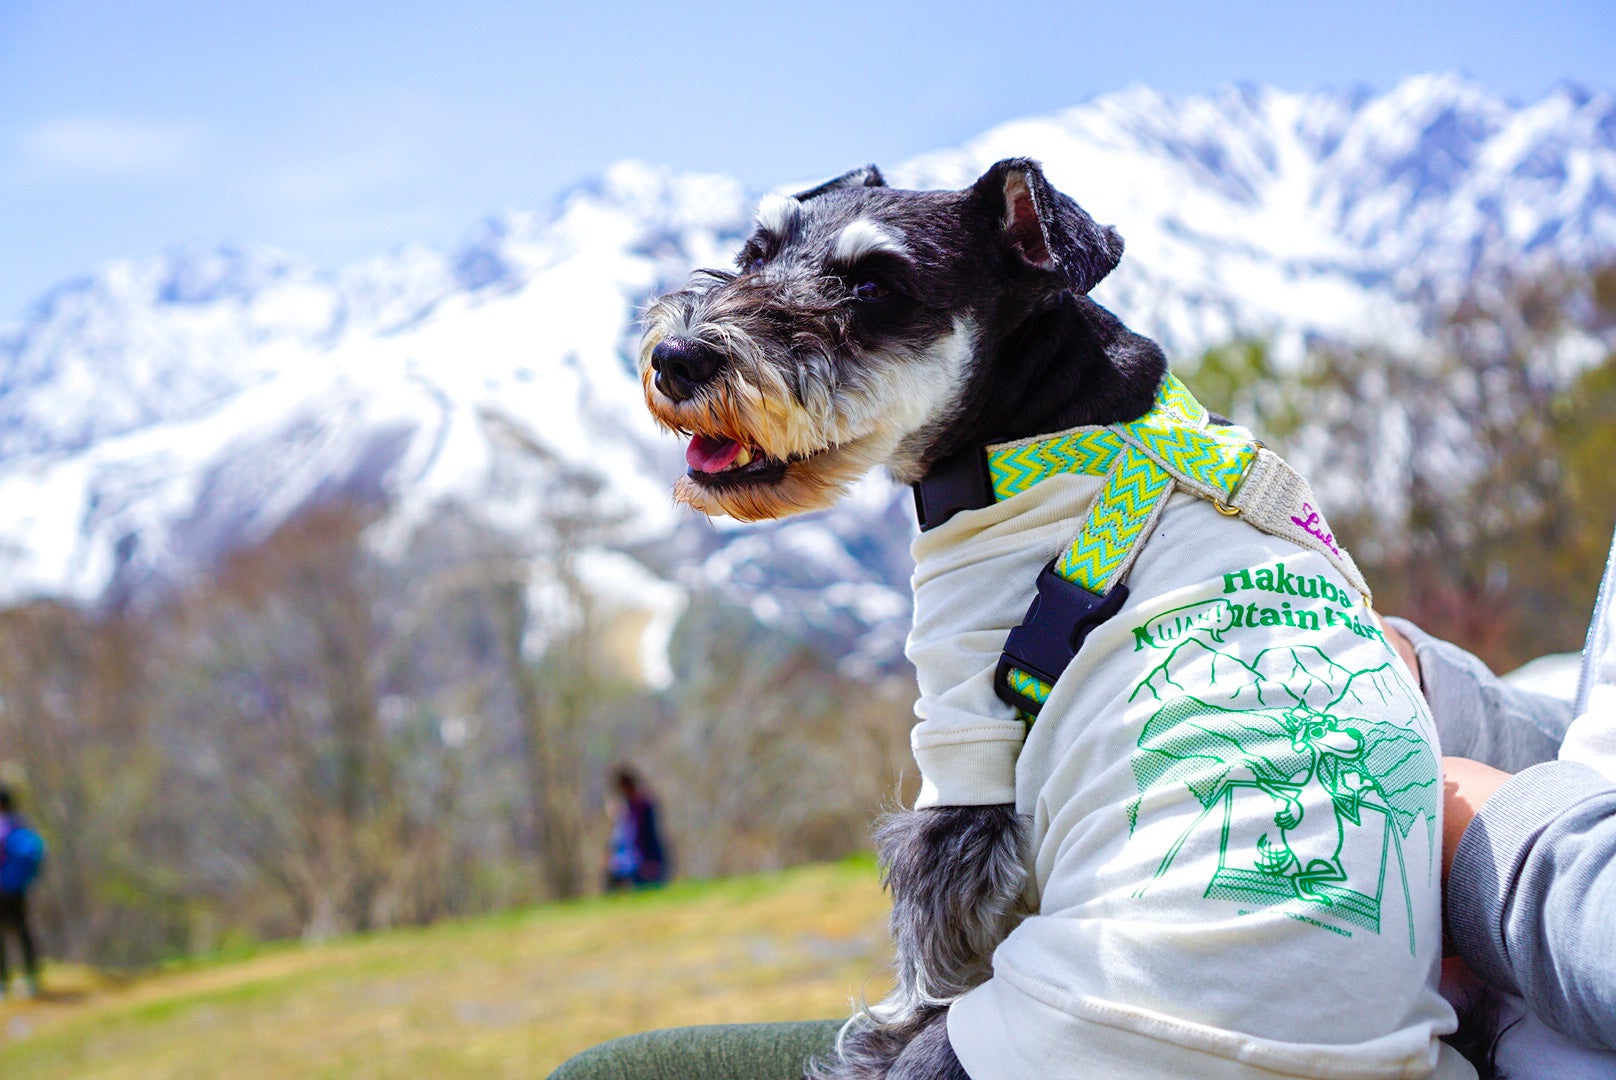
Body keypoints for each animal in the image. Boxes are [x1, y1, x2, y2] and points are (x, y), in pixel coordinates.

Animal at [636, 160, 1473, 1080]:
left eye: (874, 285)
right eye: (757, 251)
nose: (677, 357)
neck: (1036, 422)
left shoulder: (960, 735)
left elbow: (928, 951)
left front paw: (881, 1032)